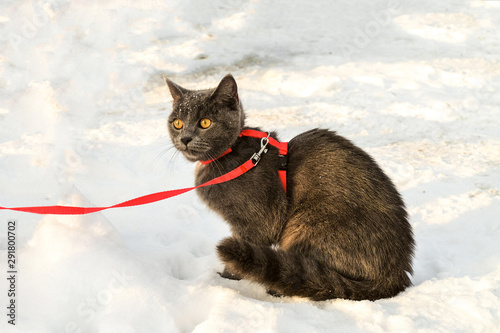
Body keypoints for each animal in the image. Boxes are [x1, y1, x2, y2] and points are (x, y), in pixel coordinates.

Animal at [164, 73, 414, 300]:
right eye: (177, 123)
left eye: (205, 123)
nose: (185, 138)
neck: (229, 155)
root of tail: (396, 277)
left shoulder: (256, 222)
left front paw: (226, 280)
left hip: (306, 224)